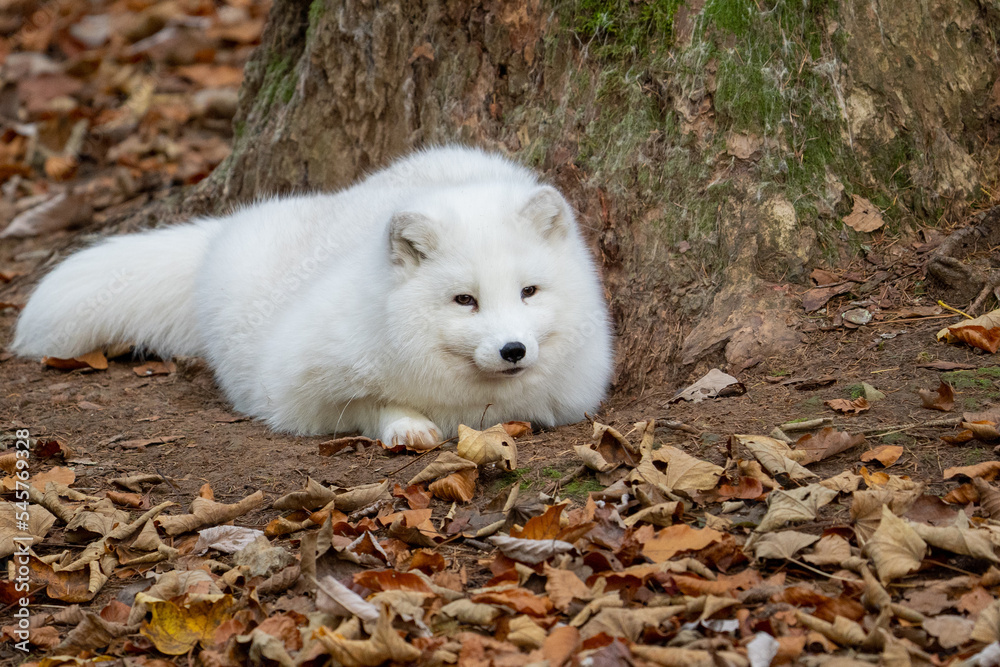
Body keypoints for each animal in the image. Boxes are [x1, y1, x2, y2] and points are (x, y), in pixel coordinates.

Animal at [11, 146, 614, 450]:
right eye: (464, 300)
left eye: (528, 292)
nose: (514, 350)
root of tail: (220, 231)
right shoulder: (299, 386)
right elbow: (371, 403)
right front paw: (407, 426)